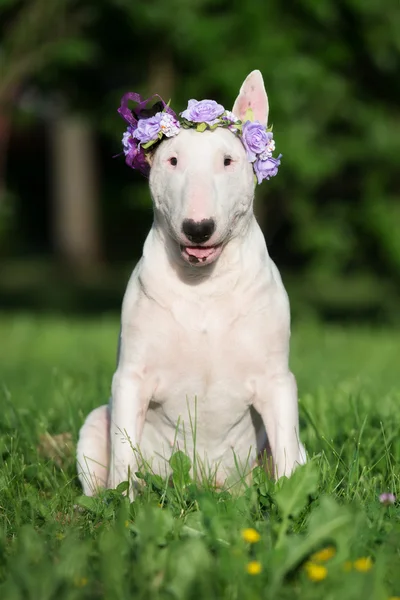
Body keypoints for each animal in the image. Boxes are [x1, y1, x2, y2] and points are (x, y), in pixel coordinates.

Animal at [76, 70, 304, 496]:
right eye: (173, 160)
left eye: (228, 161)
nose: (198, 228)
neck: (204, 286)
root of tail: (206, 485)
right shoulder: (131, 378)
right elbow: (124, 454)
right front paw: (125, 507)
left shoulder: (277, 381)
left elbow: (285, 453)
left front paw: (291, 502)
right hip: (96, 422)